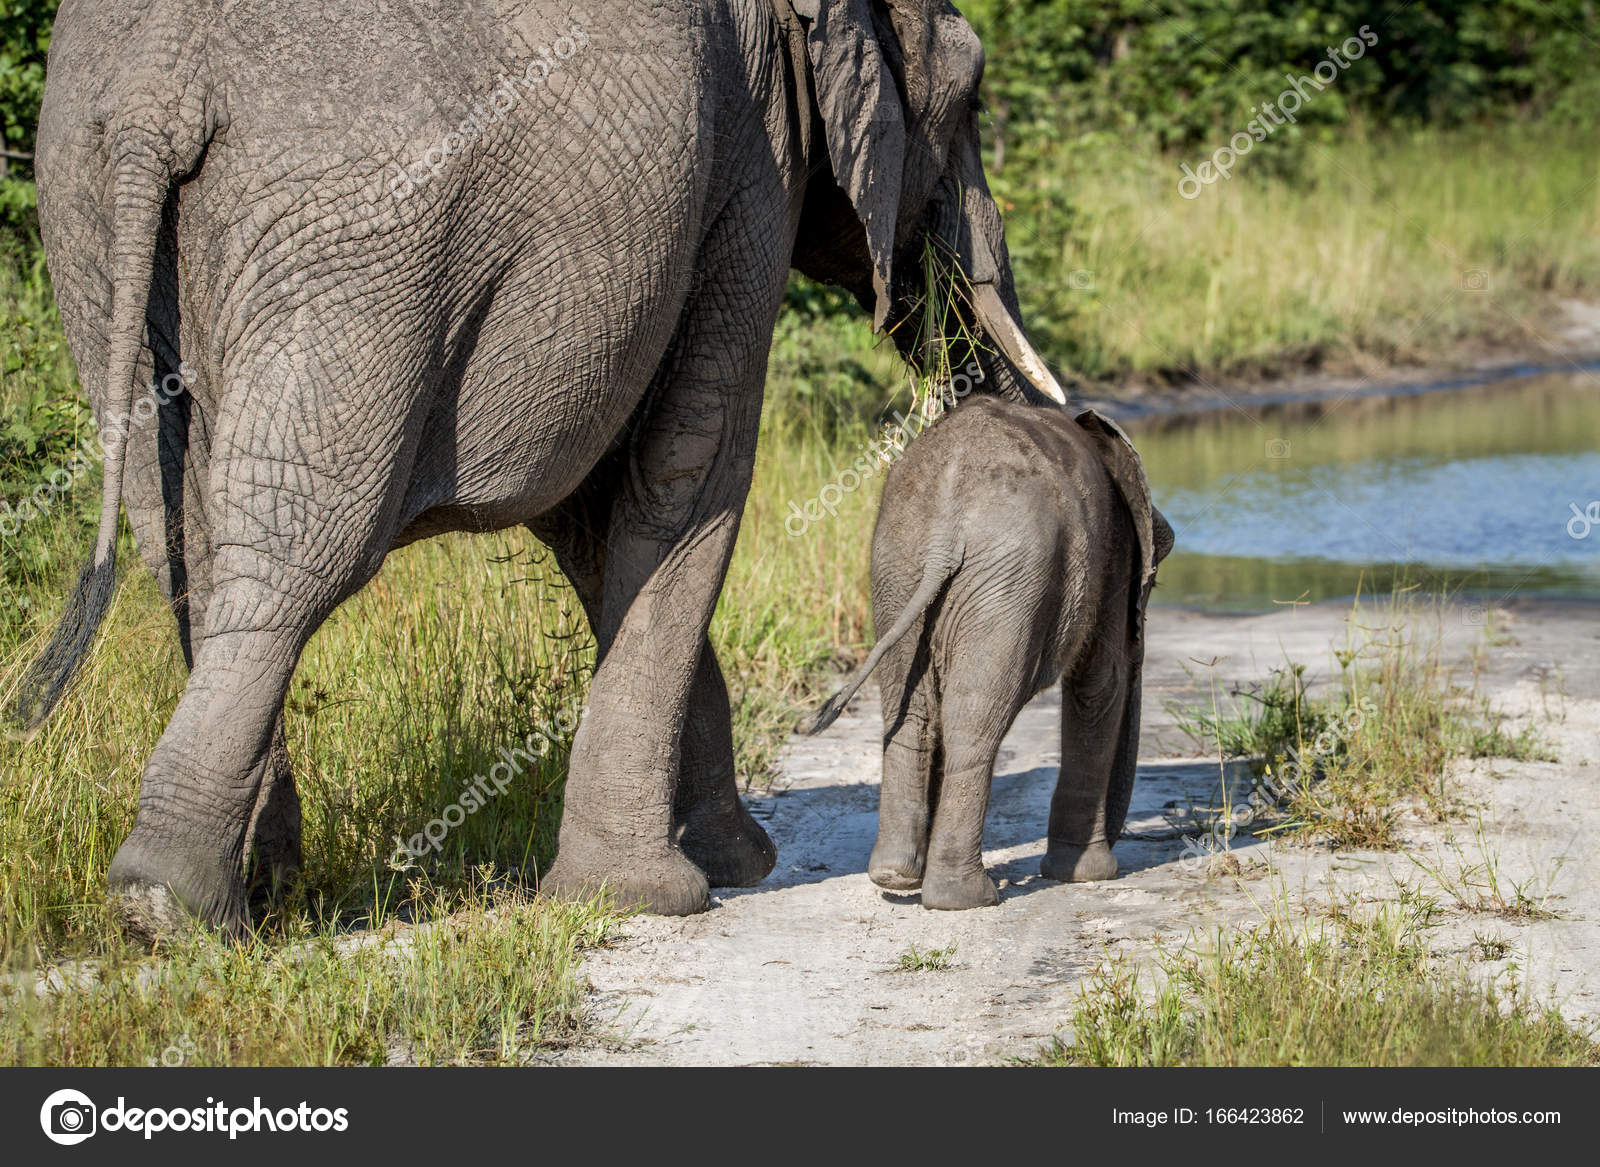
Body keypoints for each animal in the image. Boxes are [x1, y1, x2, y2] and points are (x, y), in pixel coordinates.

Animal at [18, 0, 1068, 934]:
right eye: (972, 96)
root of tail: (157, 92)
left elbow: (595, 511)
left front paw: (726, 861)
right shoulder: (754, 163)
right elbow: (689, 465)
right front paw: (654, 894)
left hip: (90, 231)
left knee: (184, 543)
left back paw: (248, 901)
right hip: (356, 237)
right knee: (301, 545)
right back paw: (169, 904)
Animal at [812, 400, 1177, 909]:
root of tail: (946, 524)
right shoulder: (1115, 554)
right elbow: (1099, 682)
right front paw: (1088, 875)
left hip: (899, 566)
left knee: (914, 714)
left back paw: (896, 878)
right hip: (1006, 577)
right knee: (975, 720)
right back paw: (966, 897)